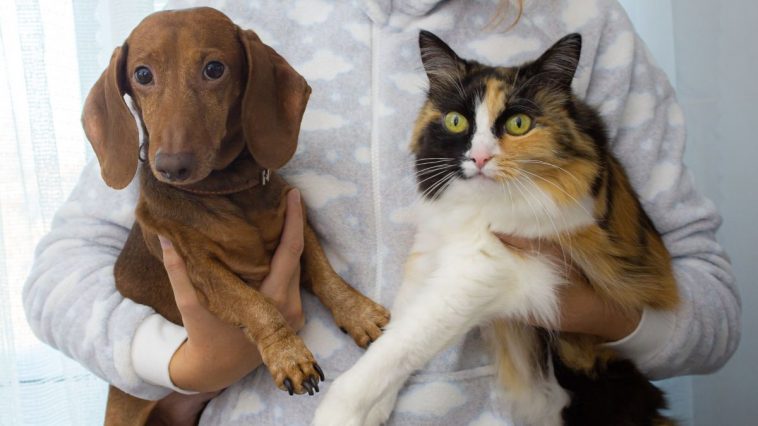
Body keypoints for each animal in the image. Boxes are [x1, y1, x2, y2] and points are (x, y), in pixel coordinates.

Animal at [82, 7, 392, 426]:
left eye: (214, 69)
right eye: (142, 74)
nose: (171, 167)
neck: (226, 190)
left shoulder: (297, 222)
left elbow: (325, 272)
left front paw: (357, 312)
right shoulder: (198, 267)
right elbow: (254, 304)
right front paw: (289, 355)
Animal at [312, 30, 680, 426]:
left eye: (518, 124)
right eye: (456, 121)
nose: (480, 157)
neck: (475, 208)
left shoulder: (485, 271)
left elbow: (401, 345)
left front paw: (337, 413)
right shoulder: (430, 253)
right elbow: (396, 331)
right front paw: (377, 410)